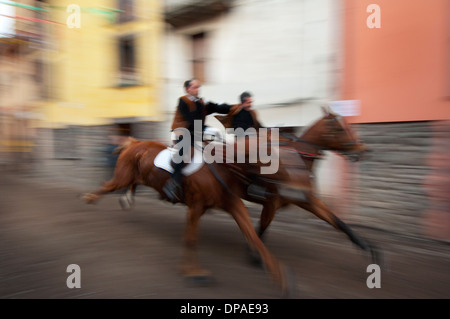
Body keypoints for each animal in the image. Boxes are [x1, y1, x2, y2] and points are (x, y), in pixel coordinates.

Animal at [83, 139, 296, 298]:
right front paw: (193, 273)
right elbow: (191, 239)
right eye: (272, 161)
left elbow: (254, 238)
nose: (286, 196)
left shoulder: (233, 205)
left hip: (135, 176)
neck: (222, 167)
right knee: (108, 186)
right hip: (123, 176)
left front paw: (281, 278)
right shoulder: (196, 207)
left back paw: (125, 199)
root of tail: (135, 143)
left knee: (130, 184)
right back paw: (90, 198)